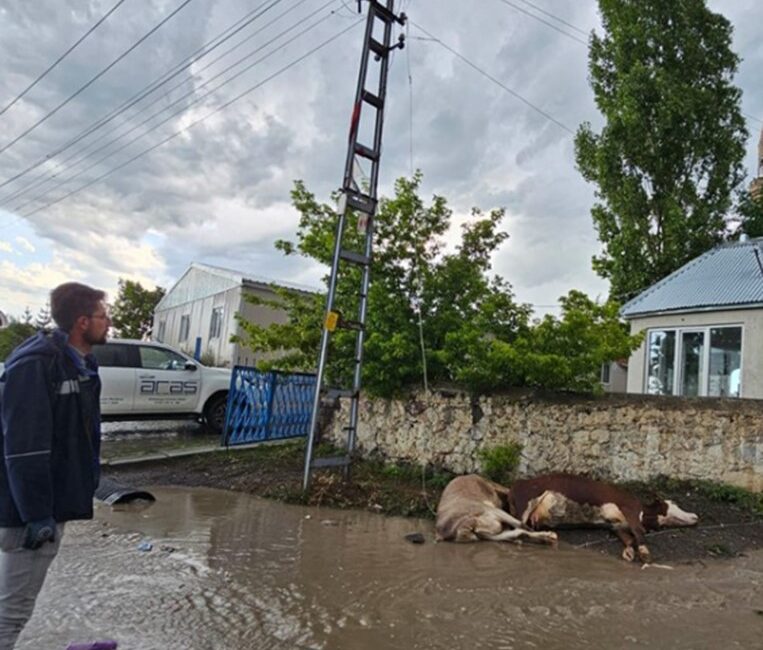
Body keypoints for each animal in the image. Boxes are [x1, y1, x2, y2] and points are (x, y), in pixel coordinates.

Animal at [508, 470, 700, 560]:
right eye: (673, 504)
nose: (696, 516)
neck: (643, 512)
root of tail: (516, 484)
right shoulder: (629, 507)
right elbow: (639, 531)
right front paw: (644, 552)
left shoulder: (615, 525)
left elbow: (629, 538)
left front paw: (629, 552)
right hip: (525, 505)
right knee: (517, 529)